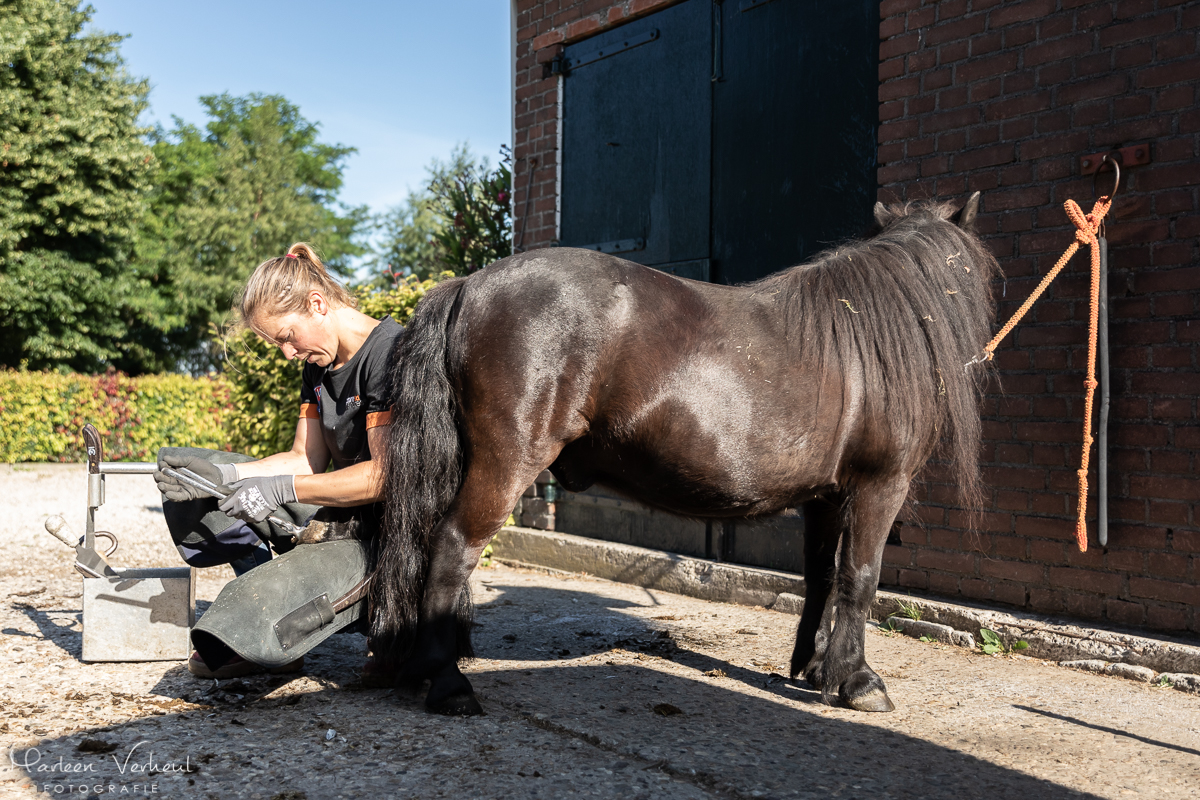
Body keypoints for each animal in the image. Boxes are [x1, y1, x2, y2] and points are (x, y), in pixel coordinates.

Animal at [369, 192, 997, 716]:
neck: (870, 339)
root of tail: (469, 286)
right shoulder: (880, 484)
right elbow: (860, 579)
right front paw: (859, 681)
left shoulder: (826, 494)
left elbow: (821, 576)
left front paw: (815, 667)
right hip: (508, 462)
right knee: (453, 546)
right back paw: (448, 683)